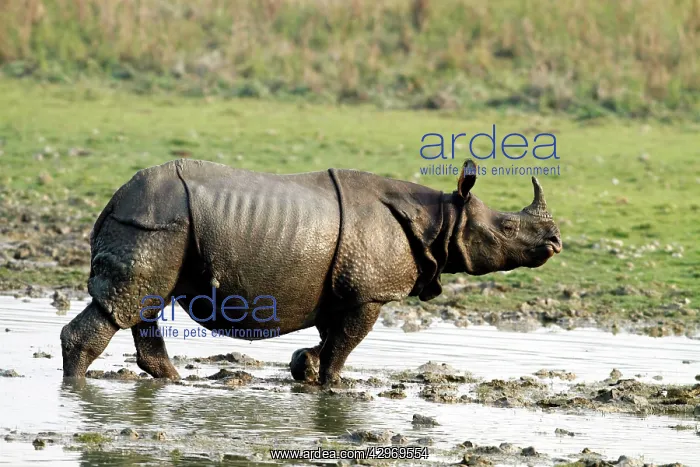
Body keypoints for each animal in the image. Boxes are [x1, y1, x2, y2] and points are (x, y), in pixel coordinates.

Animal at [60, 158, 561, 384]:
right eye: (507, 227)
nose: (555, 242)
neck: (439, 218)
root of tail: (112, 201)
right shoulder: (368, 292)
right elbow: (346, 342)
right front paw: (334, 387)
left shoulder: (340, 287)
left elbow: (330, 338)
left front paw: (307, 368)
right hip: (155, 222)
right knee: (126, 304)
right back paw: (76, 389)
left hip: (158, 225)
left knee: (142, 302)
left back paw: (173, 381)